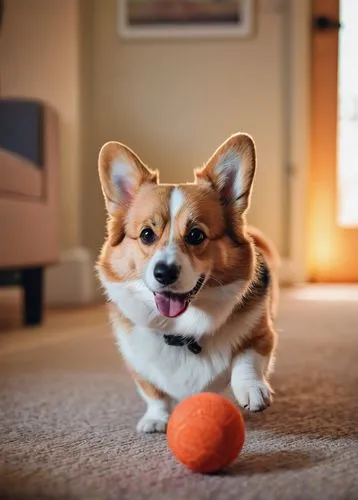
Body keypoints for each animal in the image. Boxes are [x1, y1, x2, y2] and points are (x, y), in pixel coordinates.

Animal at [97, 134, 280, 434]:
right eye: (146, 234)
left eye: (196, 235)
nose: (164, 273)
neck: (181, 331)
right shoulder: (137, 362)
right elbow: (153, 391)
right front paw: (156, 418)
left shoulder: (263, 333)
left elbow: (246, 357)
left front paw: (251, 390)